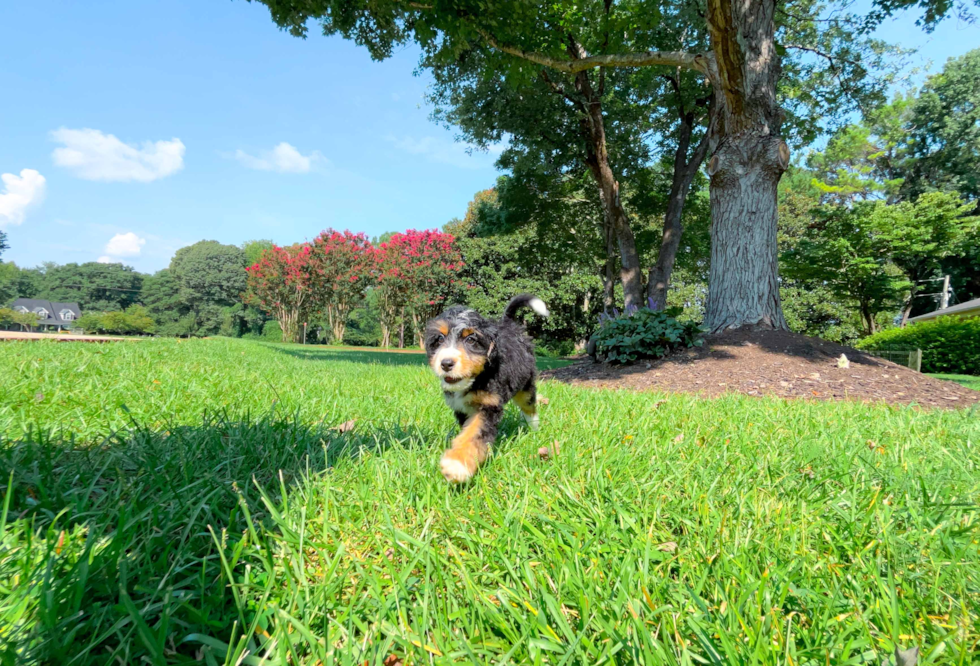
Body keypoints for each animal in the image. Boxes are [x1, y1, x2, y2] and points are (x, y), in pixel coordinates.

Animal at [424, 294, 552, 480]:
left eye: (471, 339)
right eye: (440, 339)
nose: (446, 363)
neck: (475, 380)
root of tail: (509, 325)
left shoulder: (489, 405)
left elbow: (474, 433)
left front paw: (458, 464)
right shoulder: (461, 408)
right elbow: (466, 430)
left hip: (525, 383)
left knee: (529, 404)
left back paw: (533, 427)